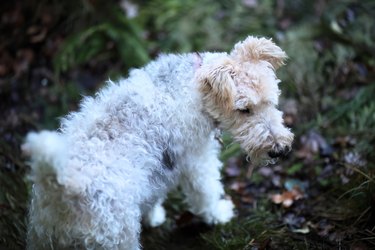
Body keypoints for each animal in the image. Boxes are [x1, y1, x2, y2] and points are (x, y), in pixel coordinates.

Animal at [22, 36, 294, 249]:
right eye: (244, 109)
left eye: (271, 100)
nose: (279, 150)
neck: (194, 87)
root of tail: (63, 185)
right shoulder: (196, 159)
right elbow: (206, 191)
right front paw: (219, 214)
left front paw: (153, 215)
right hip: (118, 237)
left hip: (40, 236)